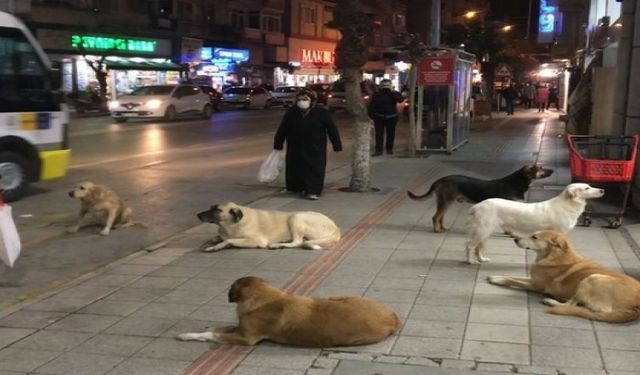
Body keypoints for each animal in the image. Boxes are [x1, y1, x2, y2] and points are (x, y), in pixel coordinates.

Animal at [175, 276, 402, 346]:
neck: (263, 297)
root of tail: (394, 317)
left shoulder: (247, 338)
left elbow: (214, 335)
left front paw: (189, 335)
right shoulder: (241, 328)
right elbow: (222, 327)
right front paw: (204, 328)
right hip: (338, 297)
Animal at [199, 203, 340, 253]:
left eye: (218, 210)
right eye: (211, 207)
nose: (198, 215)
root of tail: (336, 229)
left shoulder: (256, 240)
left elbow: (228, 240)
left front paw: (216, 247)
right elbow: (219, 238)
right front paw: (212, 242)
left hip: (296, 216)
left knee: (298, 242)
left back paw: (277, 245)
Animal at [408, 164, 552, 232]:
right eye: (540, 167)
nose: (553, 170)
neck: (517, 182)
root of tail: (441, 179)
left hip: (445, 201)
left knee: (440, 217)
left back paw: (443, 227)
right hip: (446, 201)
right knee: (435, 217)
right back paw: (437, 230)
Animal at [462, 183, 604, 264]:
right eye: (587, 188)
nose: (602, 190)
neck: (567, 204)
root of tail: (478, 205)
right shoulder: (560, 232)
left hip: (485, 231)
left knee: (478, 247)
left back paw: (481, 259)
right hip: (483, 230)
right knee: (470, 246)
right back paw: (470, 261)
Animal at [488, 231, 640, 324]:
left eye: (534, 237)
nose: (515, 239)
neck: (553, 256)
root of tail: (636, 307)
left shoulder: (536, 285)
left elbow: (512, 279)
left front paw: (497, 280)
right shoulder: (533, 279)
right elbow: (513, 276)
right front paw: (496, 276)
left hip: (593, 278)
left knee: (573, 305)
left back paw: (552, 301)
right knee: (576, 302)